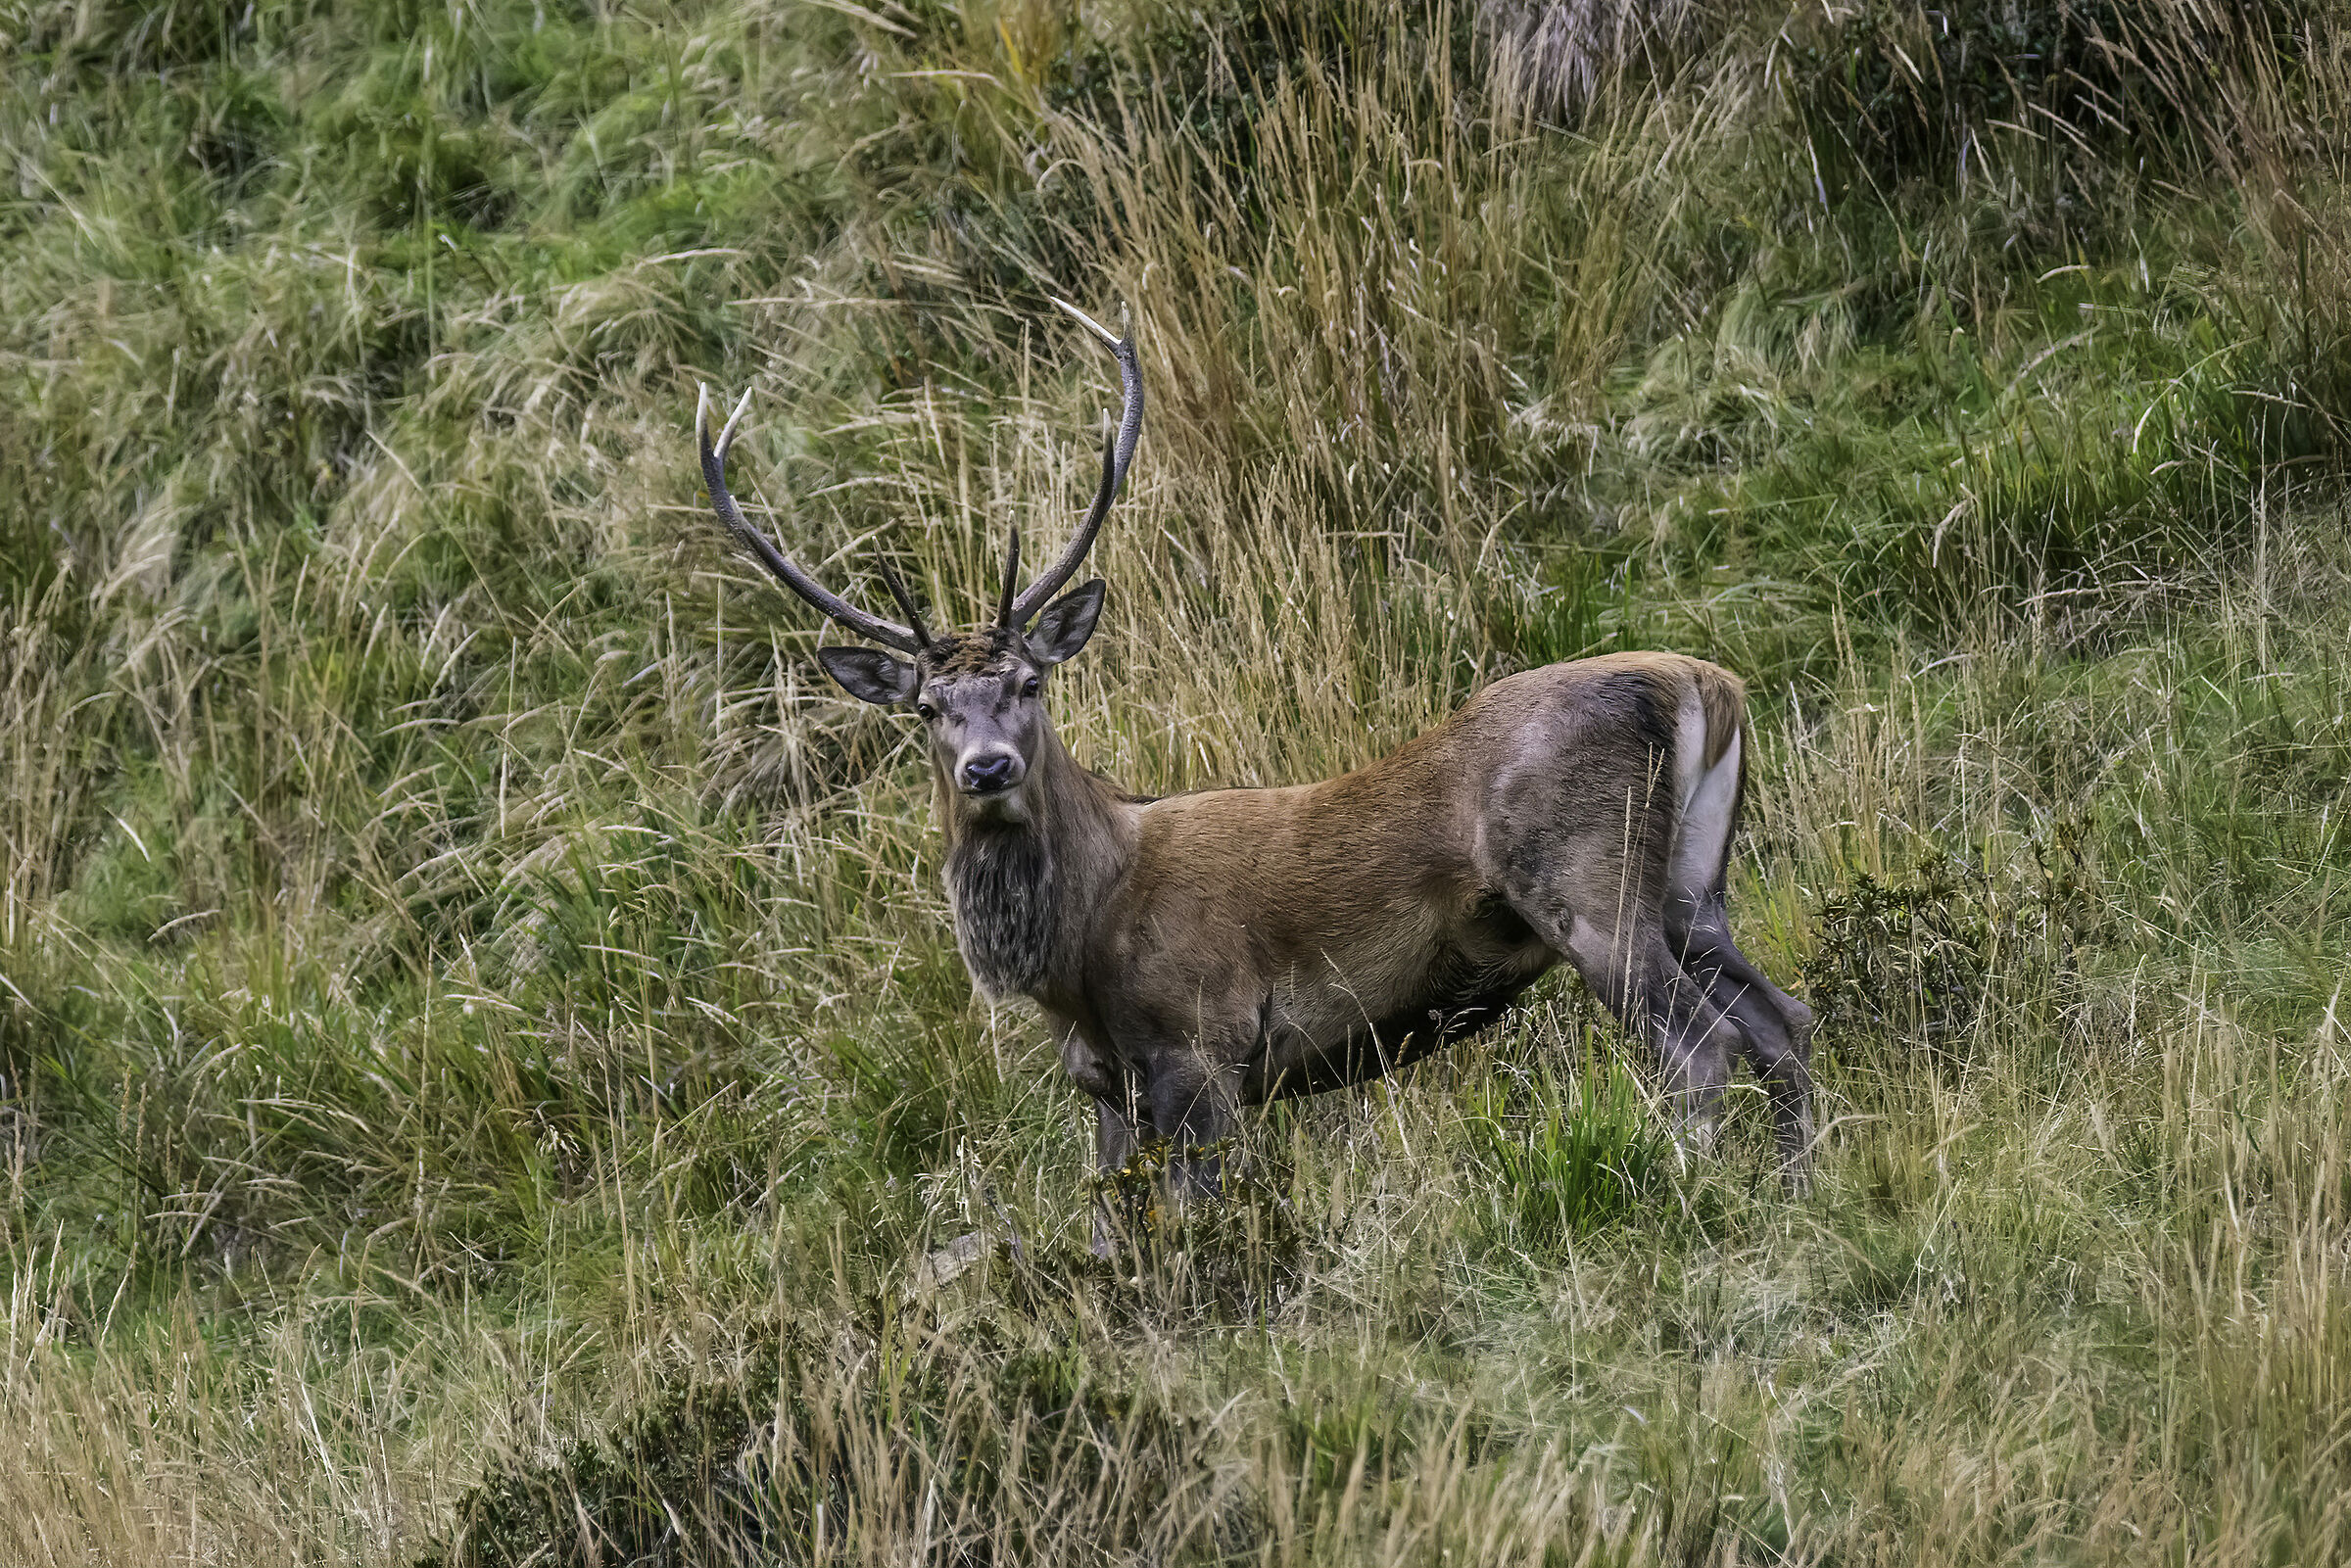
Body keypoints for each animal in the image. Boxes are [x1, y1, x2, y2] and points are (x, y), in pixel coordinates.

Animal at [694, 300, 1816, 1239]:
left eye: (1028, 681)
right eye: (928, 707)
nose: (987, 766)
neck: (1081, 948)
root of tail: (1700, 682)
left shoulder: (1206, 1043)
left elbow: (1197, 1218)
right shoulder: (1105, 1084)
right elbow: (1107, 1226)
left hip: (1590, 884)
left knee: (1699, 1050)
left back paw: (1694, 1192)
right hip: (1694, 885)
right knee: (1783, 1019)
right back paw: (1796, 1185)